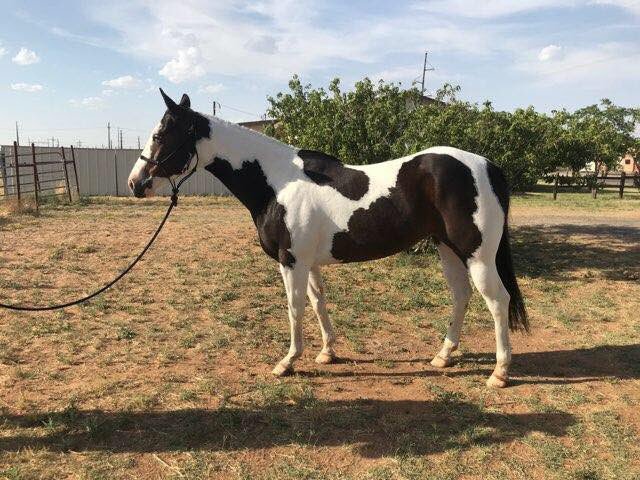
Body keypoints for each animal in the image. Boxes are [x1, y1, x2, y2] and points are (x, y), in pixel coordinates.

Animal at [128, 89, 528, 388]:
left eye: (161, 135)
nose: (135, 183)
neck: (277, 182)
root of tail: (486, 165)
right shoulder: (309, 261)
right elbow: (318, 302)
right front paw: (327, 352)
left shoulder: (291, 260)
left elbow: (294, 308)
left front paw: (288, 362)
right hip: (447, 249)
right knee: (461, 296)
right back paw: (443, 356)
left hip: (477, 255)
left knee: (497, 301)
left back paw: (499, 373)